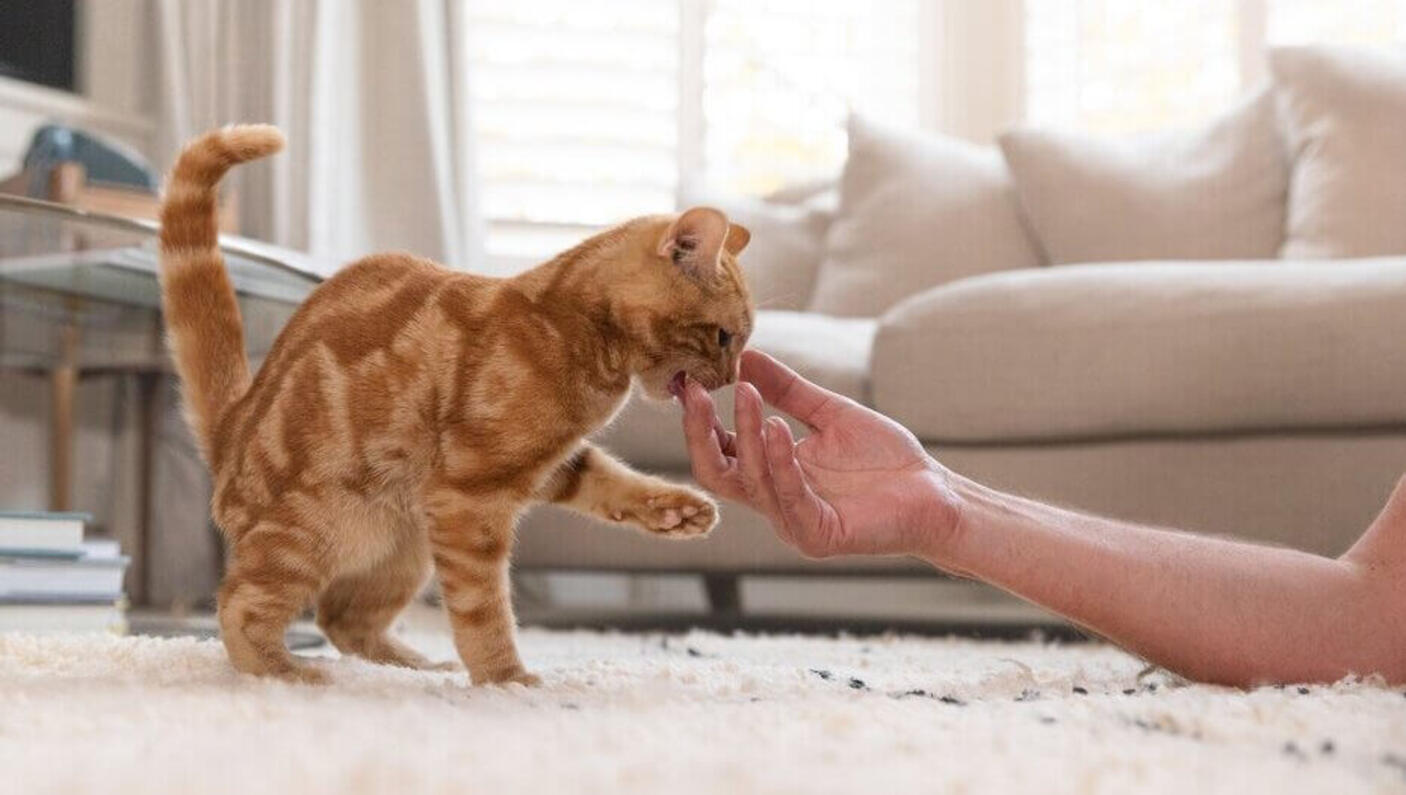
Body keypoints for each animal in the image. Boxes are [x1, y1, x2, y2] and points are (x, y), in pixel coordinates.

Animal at [158, 125, 753, 681]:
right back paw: (283, 671)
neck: (565, 323)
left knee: (341, 617)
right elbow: (482, 609)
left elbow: (610, 480)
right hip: (320, 525)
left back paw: (411, 665)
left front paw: (677, 510)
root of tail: (231, 428)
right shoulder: (471, 496)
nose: (730, 378)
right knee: (239, 603)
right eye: (725, 336)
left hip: (405, 547)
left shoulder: (544, 465)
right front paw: (505, 678)